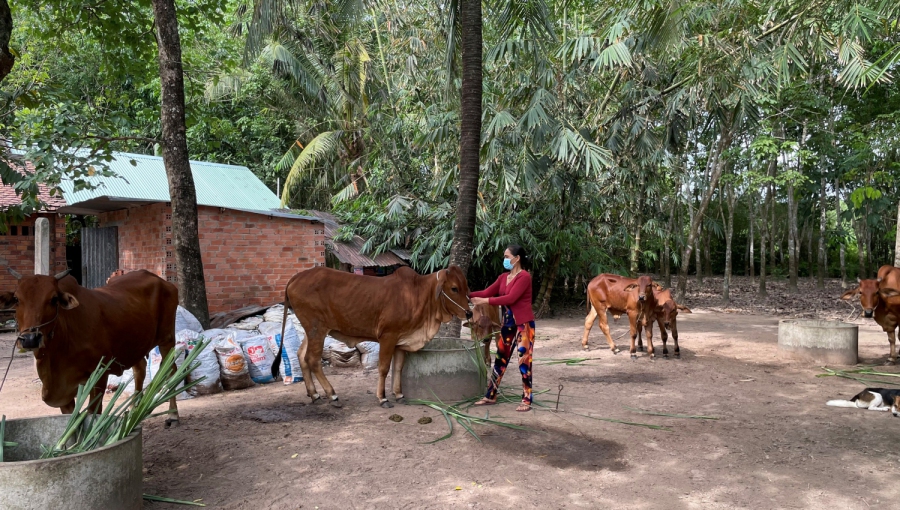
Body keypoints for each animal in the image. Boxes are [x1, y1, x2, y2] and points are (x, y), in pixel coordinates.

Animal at [274, 264, 472, 408]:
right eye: (454, 288)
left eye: (466, 287)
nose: (469, 313)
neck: (418, 295)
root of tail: (295, 278)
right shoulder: (388, 337)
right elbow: (384, 368)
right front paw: (383, 398)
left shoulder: (401, 340)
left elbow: (398, 368)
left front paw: (399, 394)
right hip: (317, 329)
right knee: (313, 360)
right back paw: (332, 395)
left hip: (312, 331)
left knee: (301, 356)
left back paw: (314, 394)